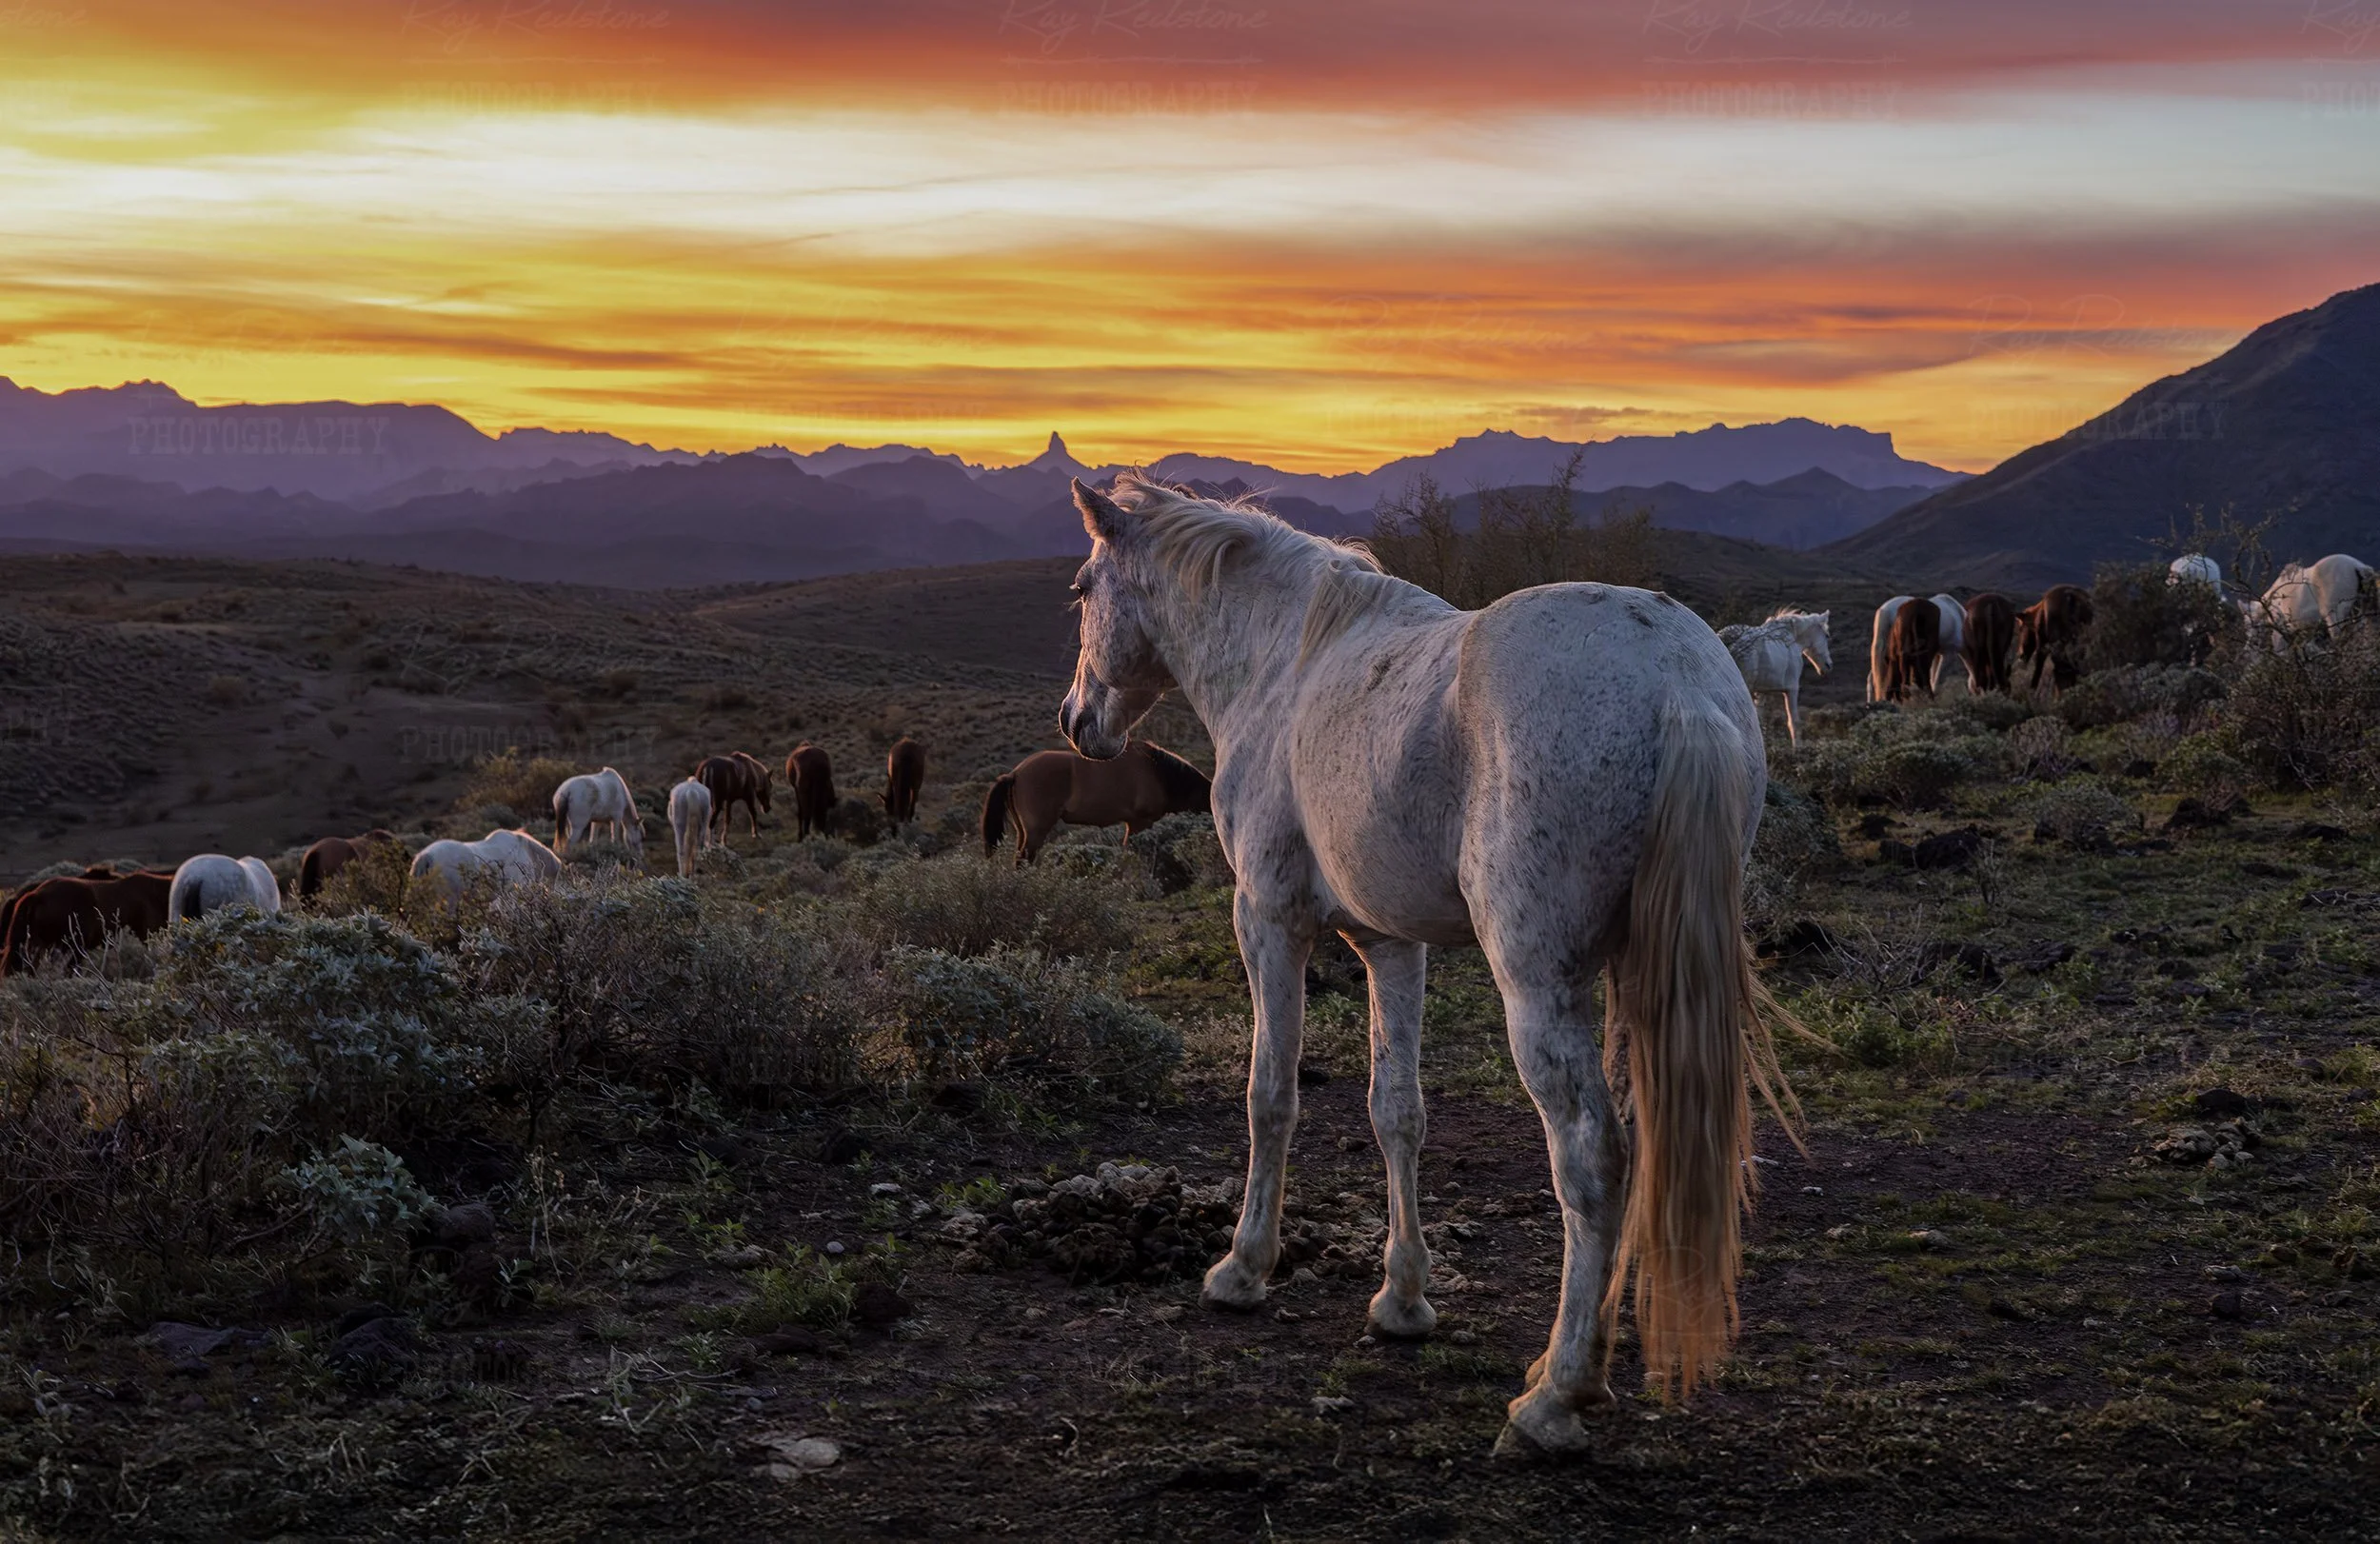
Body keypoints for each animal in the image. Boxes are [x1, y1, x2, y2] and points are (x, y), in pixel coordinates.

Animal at [981, 742, 1212, 864]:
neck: (1157, 773)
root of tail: (1015, 773)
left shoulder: (1133, 823)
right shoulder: (1140, 823)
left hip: (1023, 830)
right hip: (1037, 830)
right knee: (1024, 859)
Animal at [1057, 473, 1795, 1456]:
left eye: (1081, 591)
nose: (1076, 721)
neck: (1283, 664)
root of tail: (1679, 686)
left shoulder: (1268, 921)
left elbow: (1270, 1095)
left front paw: (1243, 1269)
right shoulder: (1389, 944)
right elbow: (1396, 1112)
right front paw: (1402, 1298)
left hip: (1538, 984)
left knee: (1592, 1156)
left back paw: (1555, 1397)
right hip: (1637, 981)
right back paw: (1573, 1366)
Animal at [1714, 610, 1830, 747]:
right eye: (1826, 635)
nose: (1828, 665)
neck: (1792, 638)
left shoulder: (1763, 692)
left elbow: (1760, 720)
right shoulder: (1792, 689)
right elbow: (1794, 722)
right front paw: (1798, 748)